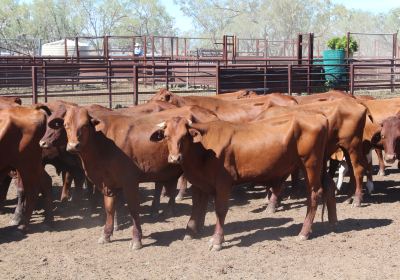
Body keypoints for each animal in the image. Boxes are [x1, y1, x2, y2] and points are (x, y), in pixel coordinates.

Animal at [152, 112, 336, 252]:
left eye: (185, 136)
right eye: (166, 136)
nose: (175, 158)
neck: (203, 149)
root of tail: (319, 116)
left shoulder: (223, 183)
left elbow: (220, 210)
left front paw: (217, 240)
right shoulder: (199, 183)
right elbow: (196, 207)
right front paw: (191, 233)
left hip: (310, 164)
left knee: (314, 194)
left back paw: (304, 232)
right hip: (319, 166)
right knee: (329, 185)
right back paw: (332, 222)